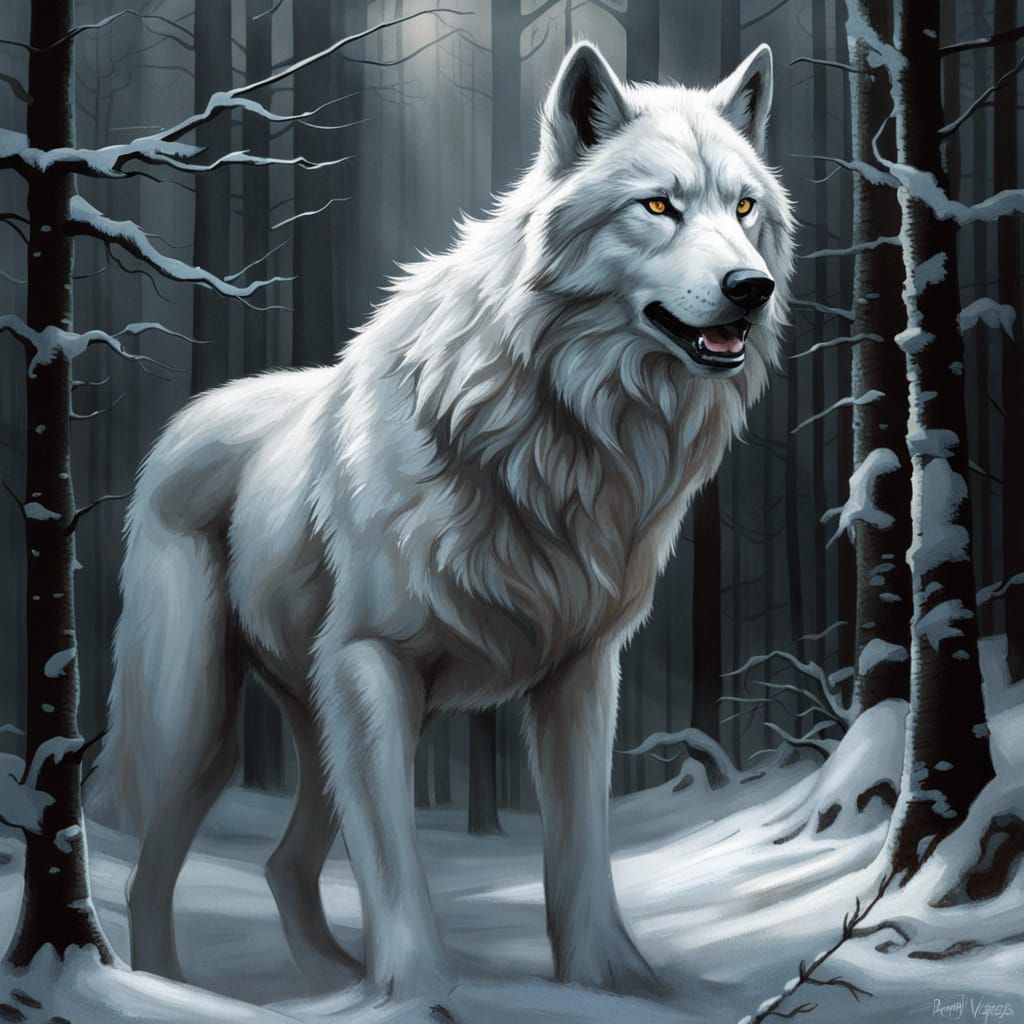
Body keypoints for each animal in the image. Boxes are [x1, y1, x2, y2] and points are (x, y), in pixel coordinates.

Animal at [90, 41, 793, 999]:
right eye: (659, 206)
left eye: (745, 207)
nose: (751, 288)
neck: (558, 436)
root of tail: (187, 420)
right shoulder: (370, 663)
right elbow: (394, 868)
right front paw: (419, 995)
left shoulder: (580, 675)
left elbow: (581, 856)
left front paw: (614, 984)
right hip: (196, 725)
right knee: (149, 868)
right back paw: (170, 986)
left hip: (317, 720)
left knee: (283, 864)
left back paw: (328, 975)